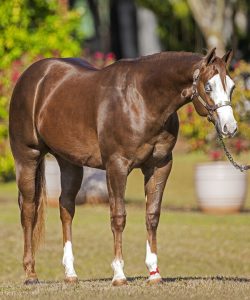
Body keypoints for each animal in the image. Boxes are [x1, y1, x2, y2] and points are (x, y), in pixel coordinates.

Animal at [9, 48, 236, 284]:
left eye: (232, 86)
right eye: (208, 86)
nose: (230, 127)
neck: (143, 100)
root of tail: (33, 75)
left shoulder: (160, 166)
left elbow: (152, 215)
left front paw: (154, 272)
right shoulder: (116, 166)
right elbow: (118, 217)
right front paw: (119, 274)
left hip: (70, 163)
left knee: (66, 208)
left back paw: (70, 273)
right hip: (27, 156)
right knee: (28, 209)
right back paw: (30, 273)